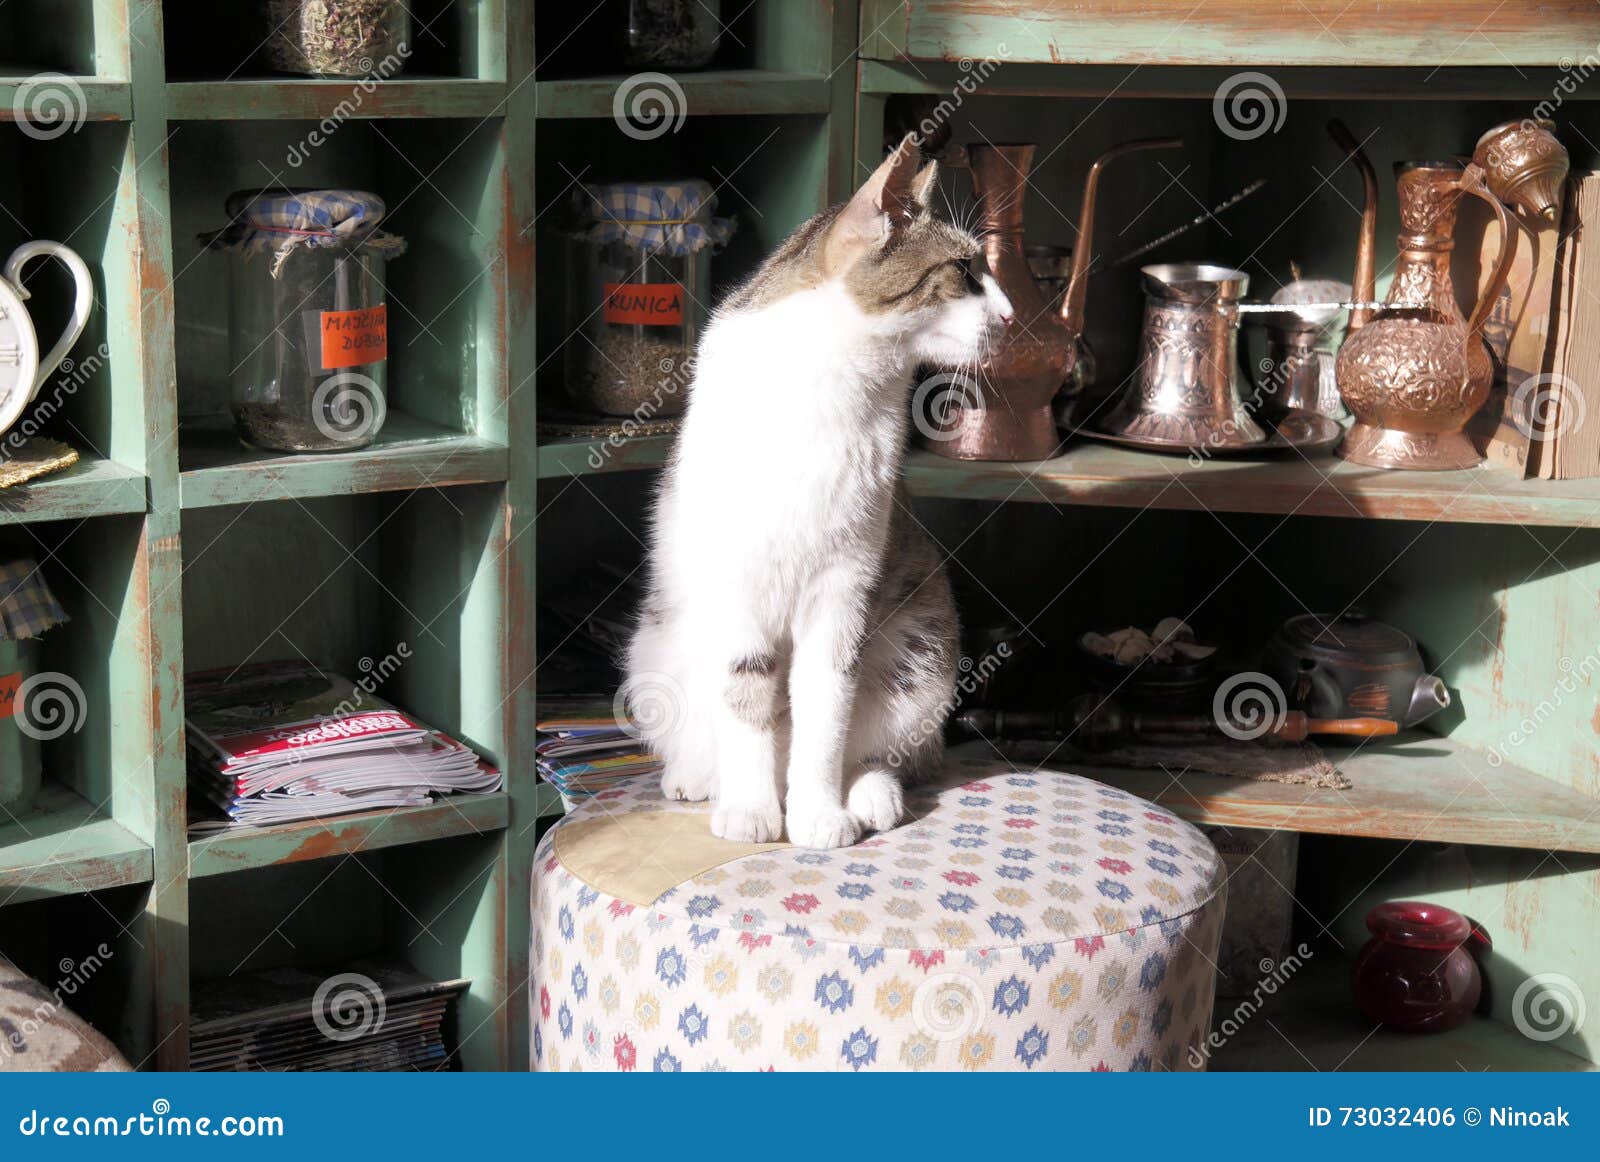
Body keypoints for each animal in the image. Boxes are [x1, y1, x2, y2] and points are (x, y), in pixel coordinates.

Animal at [624, 134, 1011, 857]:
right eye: (965, 270)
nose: (1011, 314)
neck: (841, 385)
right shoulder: (741, 587)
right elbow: (746, 700)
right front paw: (751, 811)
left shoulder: (843, 589)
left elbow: (826, 713)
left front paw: (817, 815)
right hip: (658, 645)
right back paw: (700, 778)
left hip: (921, 652)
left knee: (884, 749)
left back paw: (870, 796)